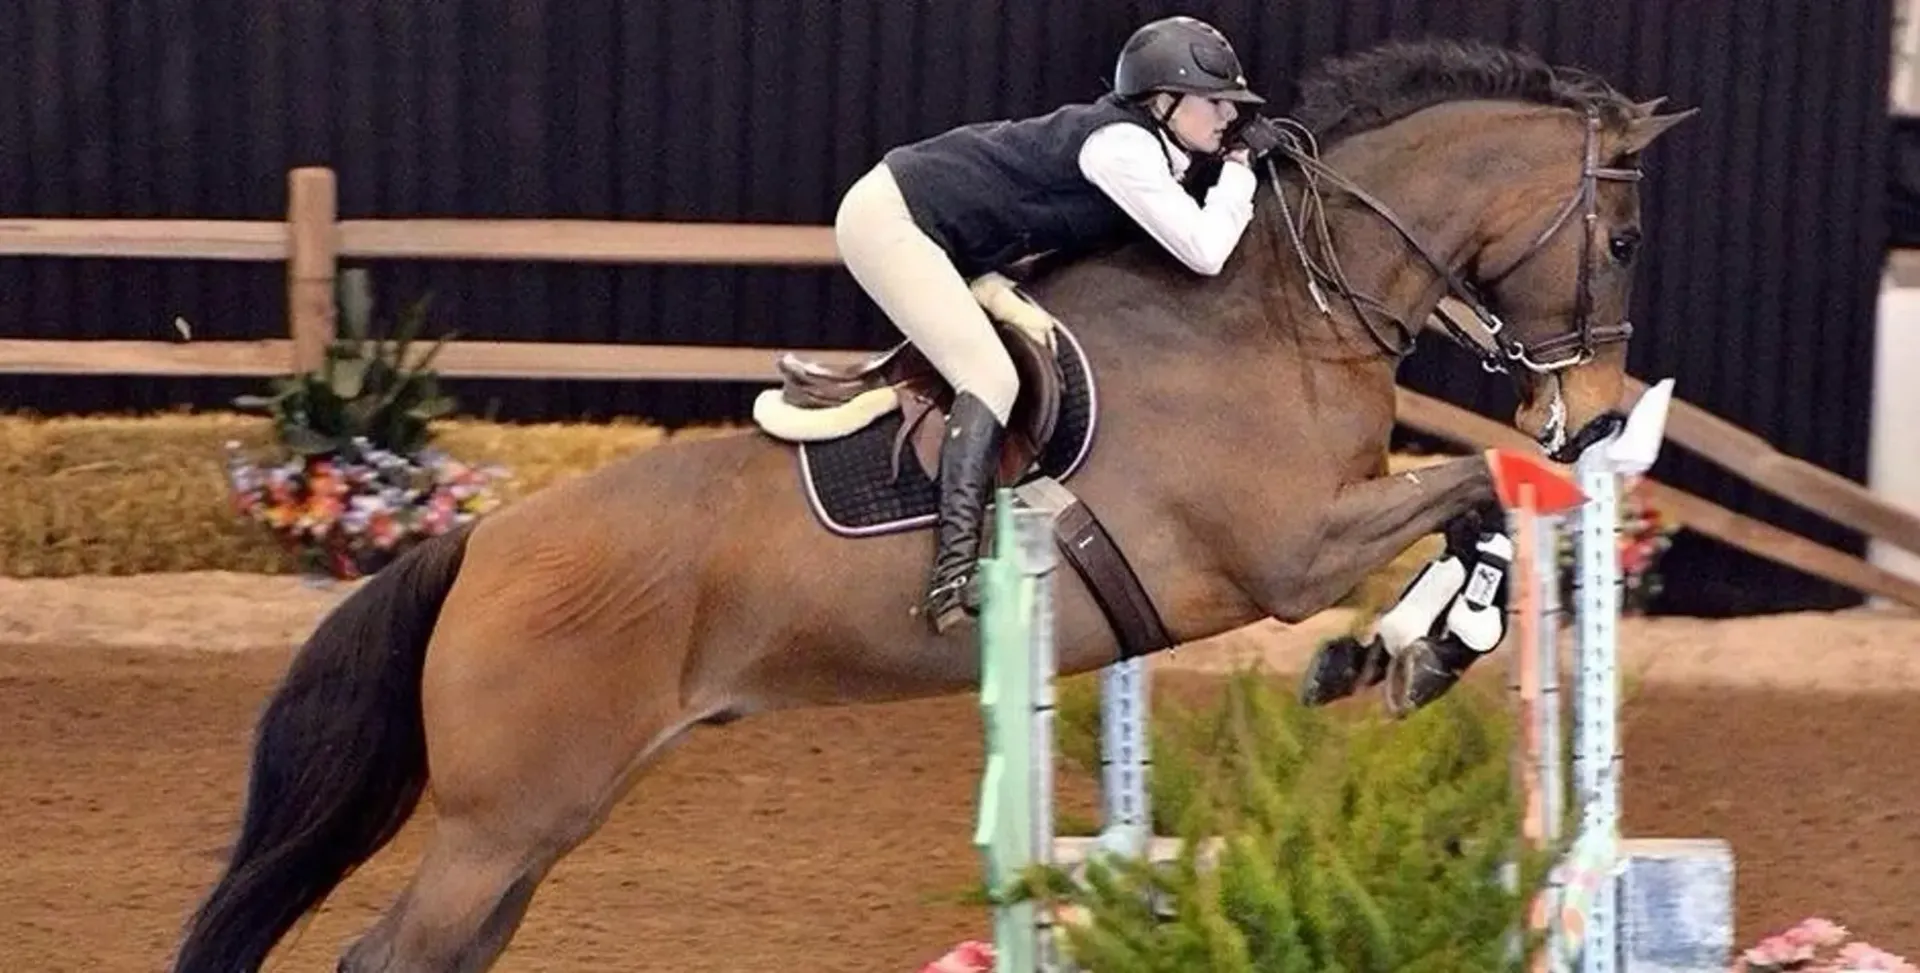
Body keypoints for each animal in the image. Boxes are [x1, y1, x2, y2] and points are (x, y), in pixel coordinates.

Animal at [168, 37, 1692, 973]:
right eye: (1621, 239)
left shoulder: (1320, 528)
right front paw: (1418, 647)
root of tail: (480, 544)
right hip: (506, 818)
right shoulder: (1287, 550)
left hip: (537, 826)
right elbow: (1475, 494)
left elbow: (1479, 505)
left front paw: (1396, 653)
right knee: (390, 952)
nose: (1594, 408)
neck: (1282, 308)